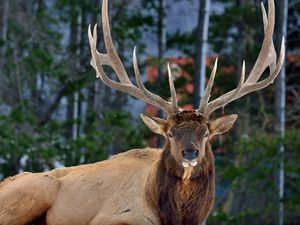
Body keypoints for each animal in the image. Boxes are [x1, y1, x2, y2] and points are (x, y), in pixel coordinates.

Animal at [0, 0, 284, 225]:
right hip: (35, 190)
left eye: (205, 134)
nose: (189, 153)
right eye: (170, 134)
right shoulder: (112, 217)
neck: (176, 217)